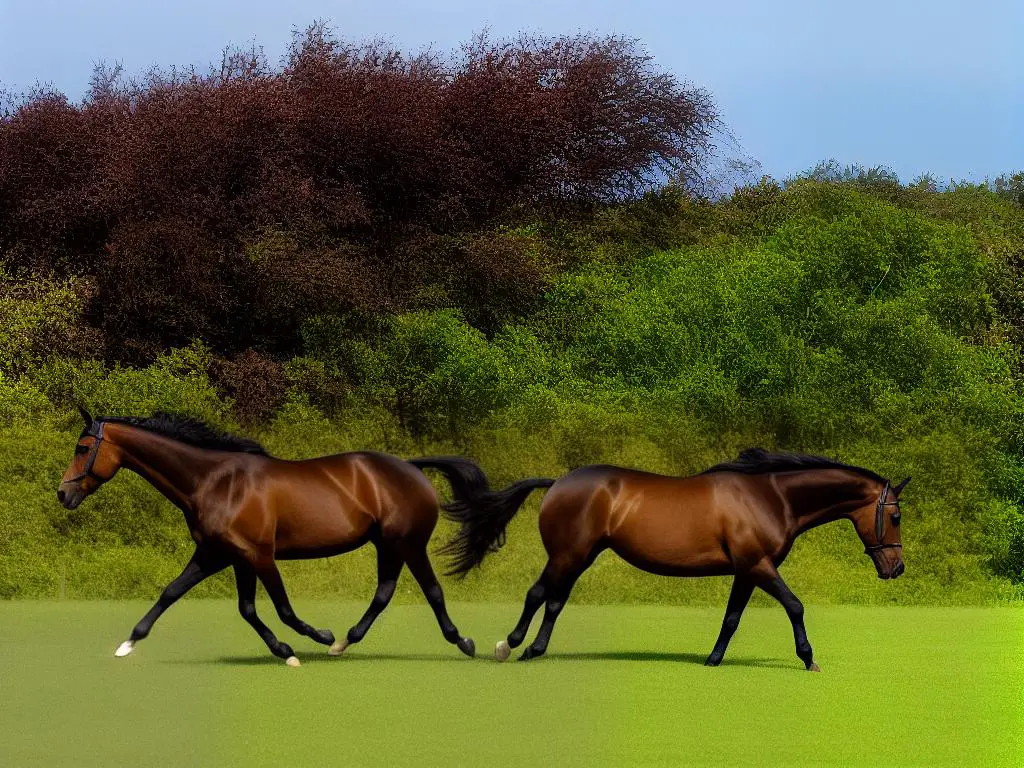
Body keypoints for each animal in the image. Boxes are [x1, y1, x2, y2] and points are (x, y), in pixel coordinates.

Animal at [57, 409, 487, 667]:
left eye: (82, 447)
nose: (63, 494)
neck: (214, 482)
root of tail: (412, 468)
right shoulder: (221, 554)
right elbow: (184, 595)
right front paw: (128, 643)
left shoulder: (259, 555)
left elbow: (282, 609)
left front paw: (308, 642)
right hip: (388, 546)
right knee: (384, 593)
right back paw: (345, 643)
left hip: (408, 543)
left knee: (431, 591)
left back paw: (463, 642)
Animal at [436, 450, 909, 671]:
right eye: (896, 516)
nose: (896, 569)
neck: (771, 498)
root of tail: (557, 483)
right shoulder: (759, 566)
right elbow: (795, 605)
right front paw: (809, 659)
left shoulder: (747, 570)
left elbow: (731, 619)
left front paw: (713, 660)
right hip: (567, 554)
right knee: (537, 595)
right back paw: (508, 646)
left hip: (580, 557)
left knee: (554, 601)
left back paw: (535, 649)